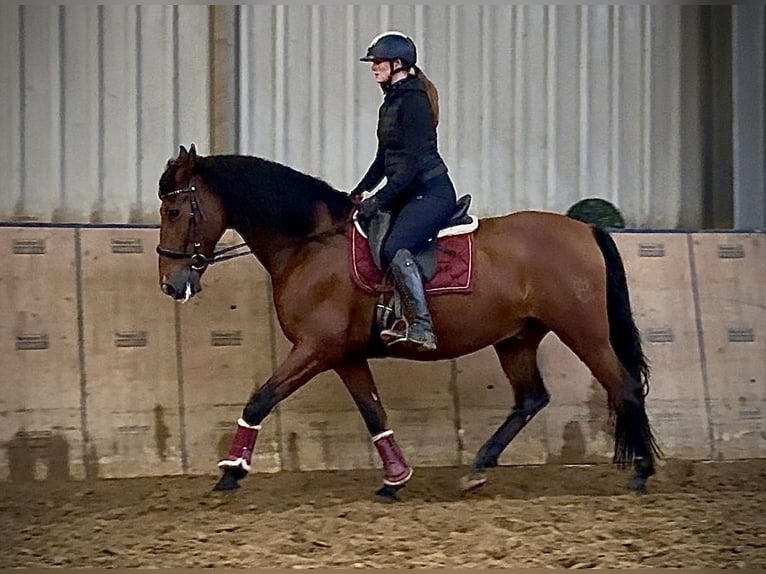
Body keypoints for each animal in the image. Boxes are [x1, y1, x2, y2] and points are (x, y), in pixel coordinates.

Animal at [156, 144, 662, 498]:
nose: (169, 284)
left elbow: (260, 399)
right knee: (531, 399)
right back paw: (478, 469)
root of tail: (586, 230)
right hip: (516, 338)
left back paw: (641, 473)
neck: (310, 245)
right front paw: (395, 479)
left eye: (174, 210)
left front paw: (230, 473)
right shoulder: (343, 356)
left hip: (584, 332)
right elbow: (373, 412)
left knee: (623, 386)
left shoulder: (316, 348)